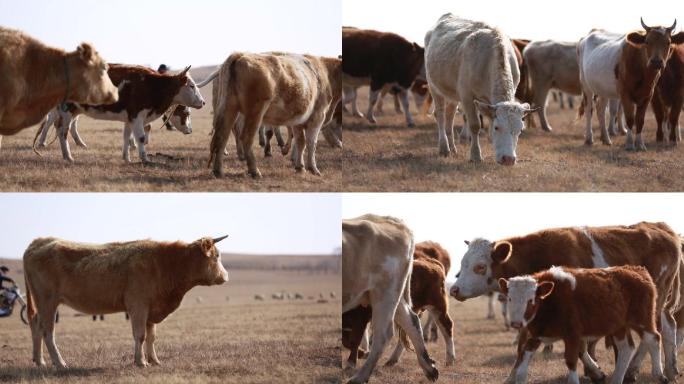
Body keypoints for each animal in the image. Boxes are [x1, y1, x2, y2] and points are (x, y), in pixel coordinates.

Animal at [22, 236, 230, 368]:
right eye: (217, 256)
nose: (226, 276)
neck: (164, 264)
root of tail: (39, 242)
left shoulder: (151, 310)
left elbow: (151, 336)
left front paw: (154, 360)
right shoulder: (138, 306)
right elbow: (140, 335)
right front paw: (141, 362)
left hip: (43, 304)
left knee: (37, 325)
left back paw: (39, 361)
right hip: (47, 302)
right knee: (48, 332)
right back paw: (60, 363)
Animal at [204, 51, 340, 178]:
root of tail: (241, 55)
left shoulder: (298, 120)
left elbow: (301, 142)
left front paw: (300, 167)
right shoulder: (318, 116)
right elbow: (312, 143)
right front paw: (313, 169)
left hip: (229, 108)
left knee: (222, 136)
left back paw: (218, 171)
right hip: (255, 111)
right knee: (246, 137)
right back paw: (254, 171)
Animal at [342, 214, 438, 384]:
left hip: (385, 293)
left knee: (383, 334)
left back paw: (360, 377)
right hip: (391, 294)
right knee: (411, 320)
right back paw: (429, 368)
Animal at [500, 266, 664, 384]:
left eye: (531, 300)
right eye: (510, 298)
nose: (516, 323)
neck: (551, 300)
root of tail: (636, 270)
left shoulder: (572, 334)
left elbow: (571, 360)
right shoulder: (537, 334)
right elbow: (523, 357)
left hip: (642, 320)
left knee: (654, 338)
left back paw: (659, 374)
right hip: (619, 326)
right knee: (626, 348)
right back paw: (617, 379)